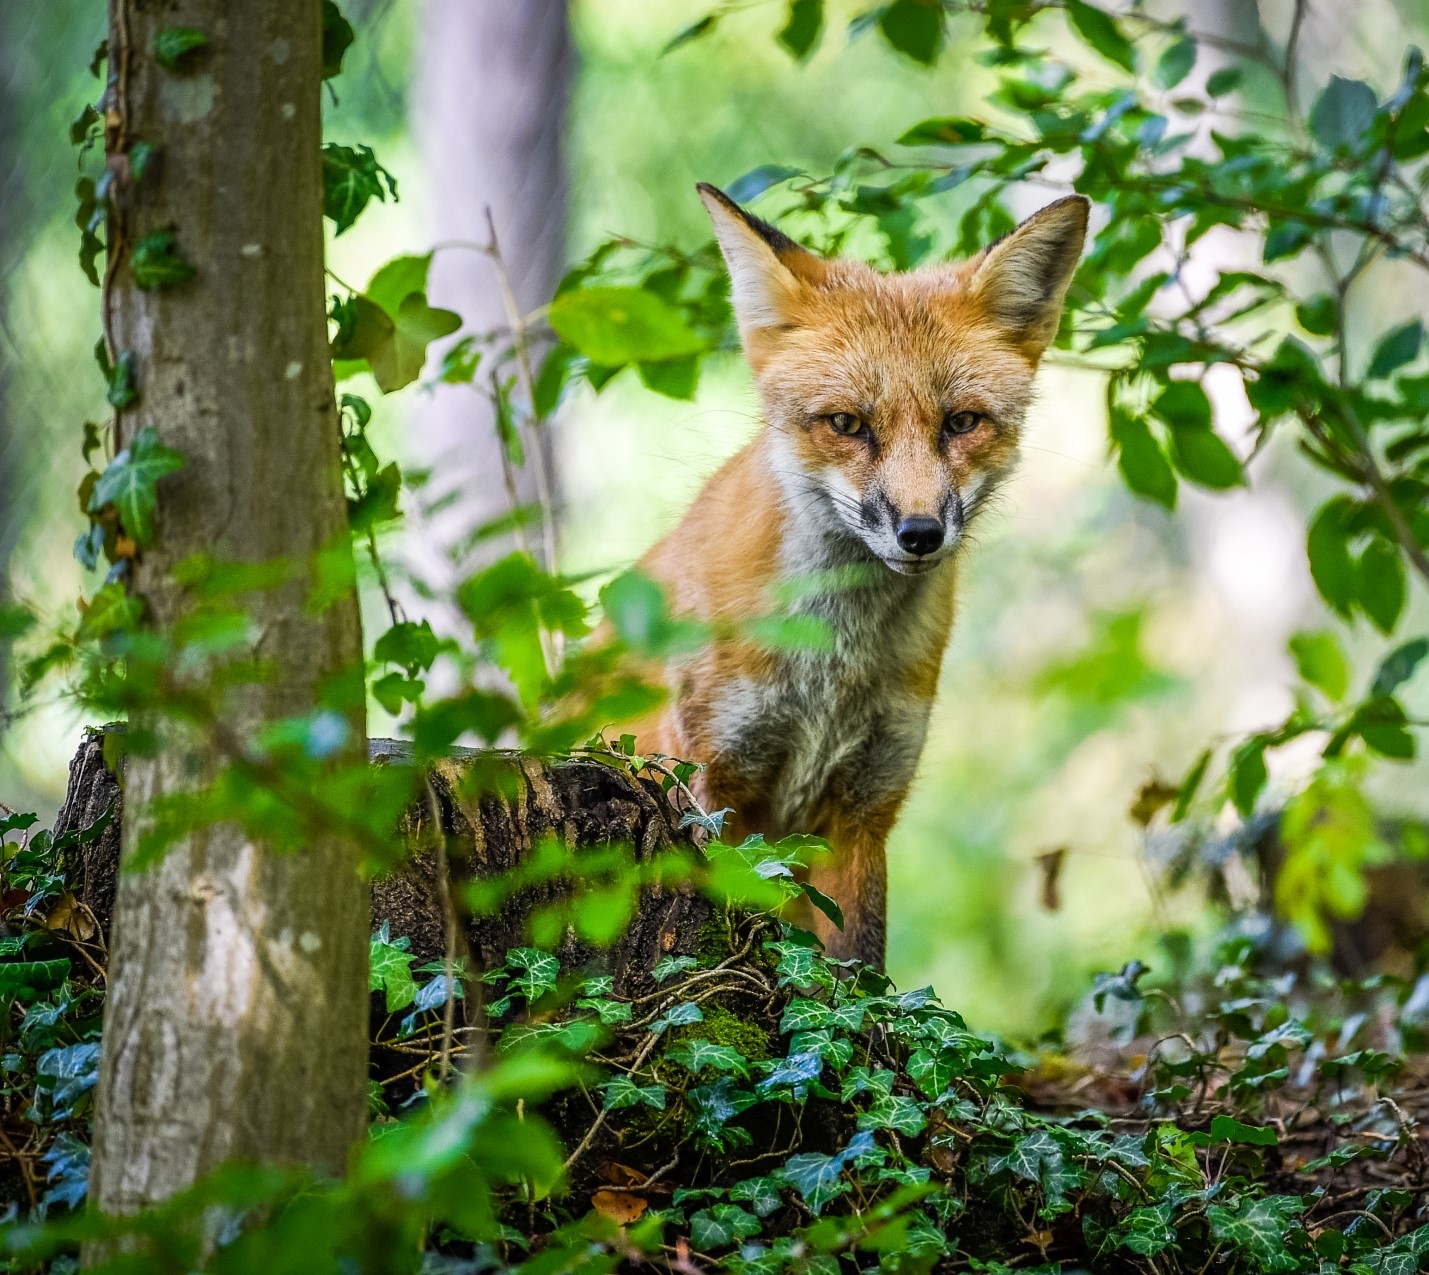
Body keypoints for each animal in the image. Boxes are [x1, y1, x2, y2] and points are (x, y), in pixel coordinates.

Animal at [622, 184, 1089, 968]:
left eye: (961, 421)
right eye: (846, 423)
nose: (921, 532)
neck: (829, 671)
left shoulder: (862, 811)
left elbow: (857, 971)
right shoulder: (707, 785)